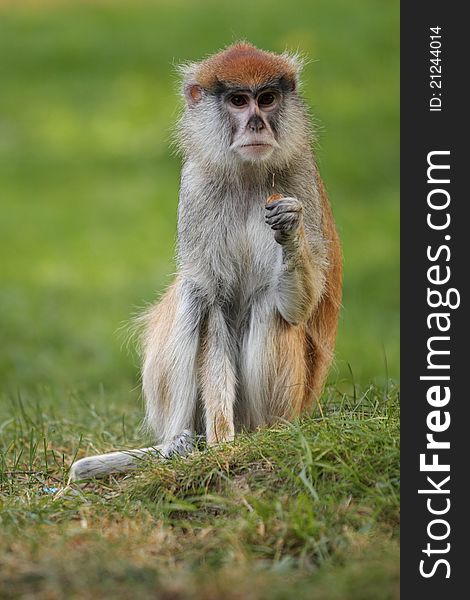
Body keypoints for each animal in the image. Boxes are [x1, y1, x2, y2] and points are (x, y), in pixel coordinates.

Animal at [70, 42, 342, 480]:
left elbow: (297, 308)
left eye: (267, 99)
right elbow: (213, 301)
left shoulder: (299, 179)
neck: (248, 175)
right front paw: (220, 444)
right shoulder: (197, 184)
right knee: (191, 292)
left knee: (269, 304)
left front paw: (289, 230)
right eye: (238, 101)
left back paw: (264, 435)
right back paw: (179, 444)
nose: (257, 125)